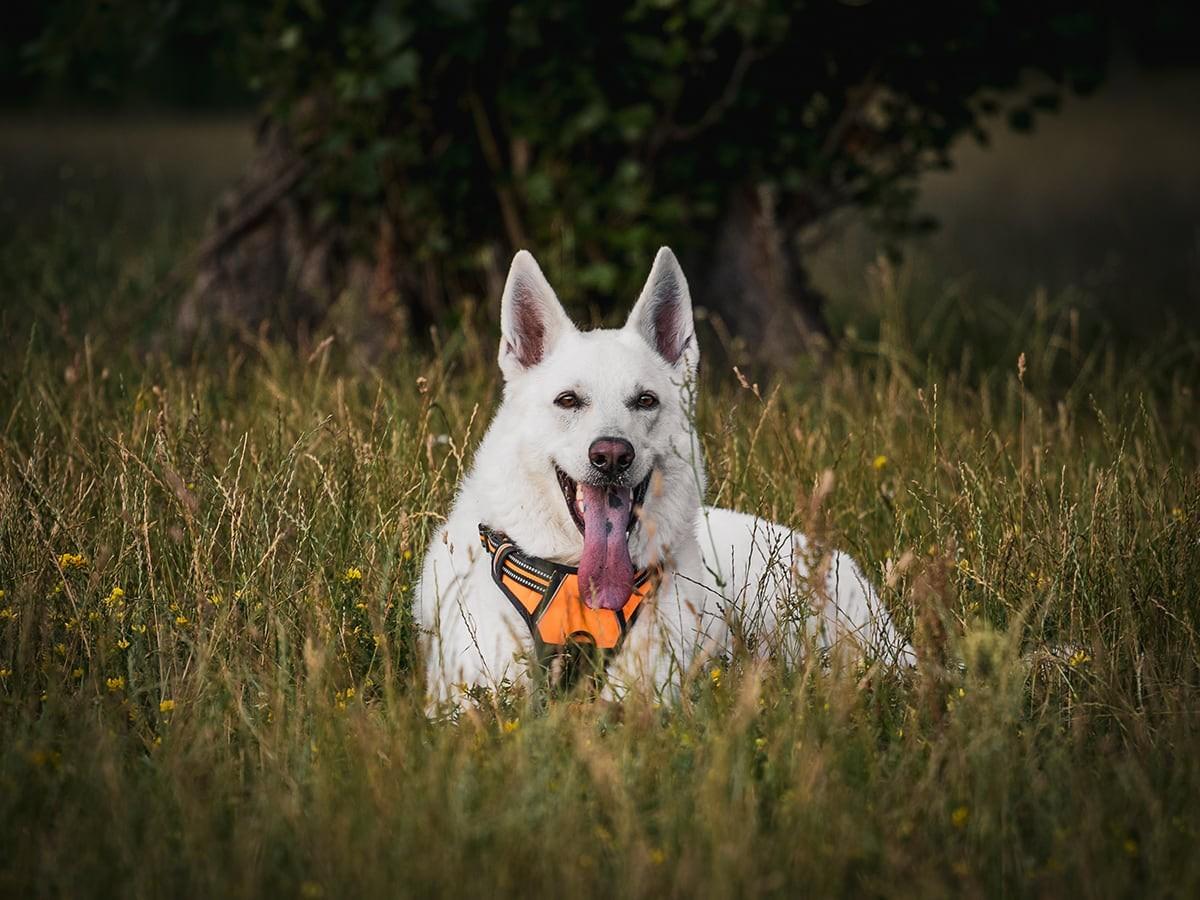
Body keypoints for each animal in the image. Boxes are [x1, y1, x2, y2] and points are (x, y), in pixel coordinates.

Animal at [417, 247, 912, 705]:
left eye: (645, 401)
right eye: (568, 400)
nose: (612, 456)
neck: (577, 581)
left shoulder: (643, 698)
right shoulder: (467, 702)